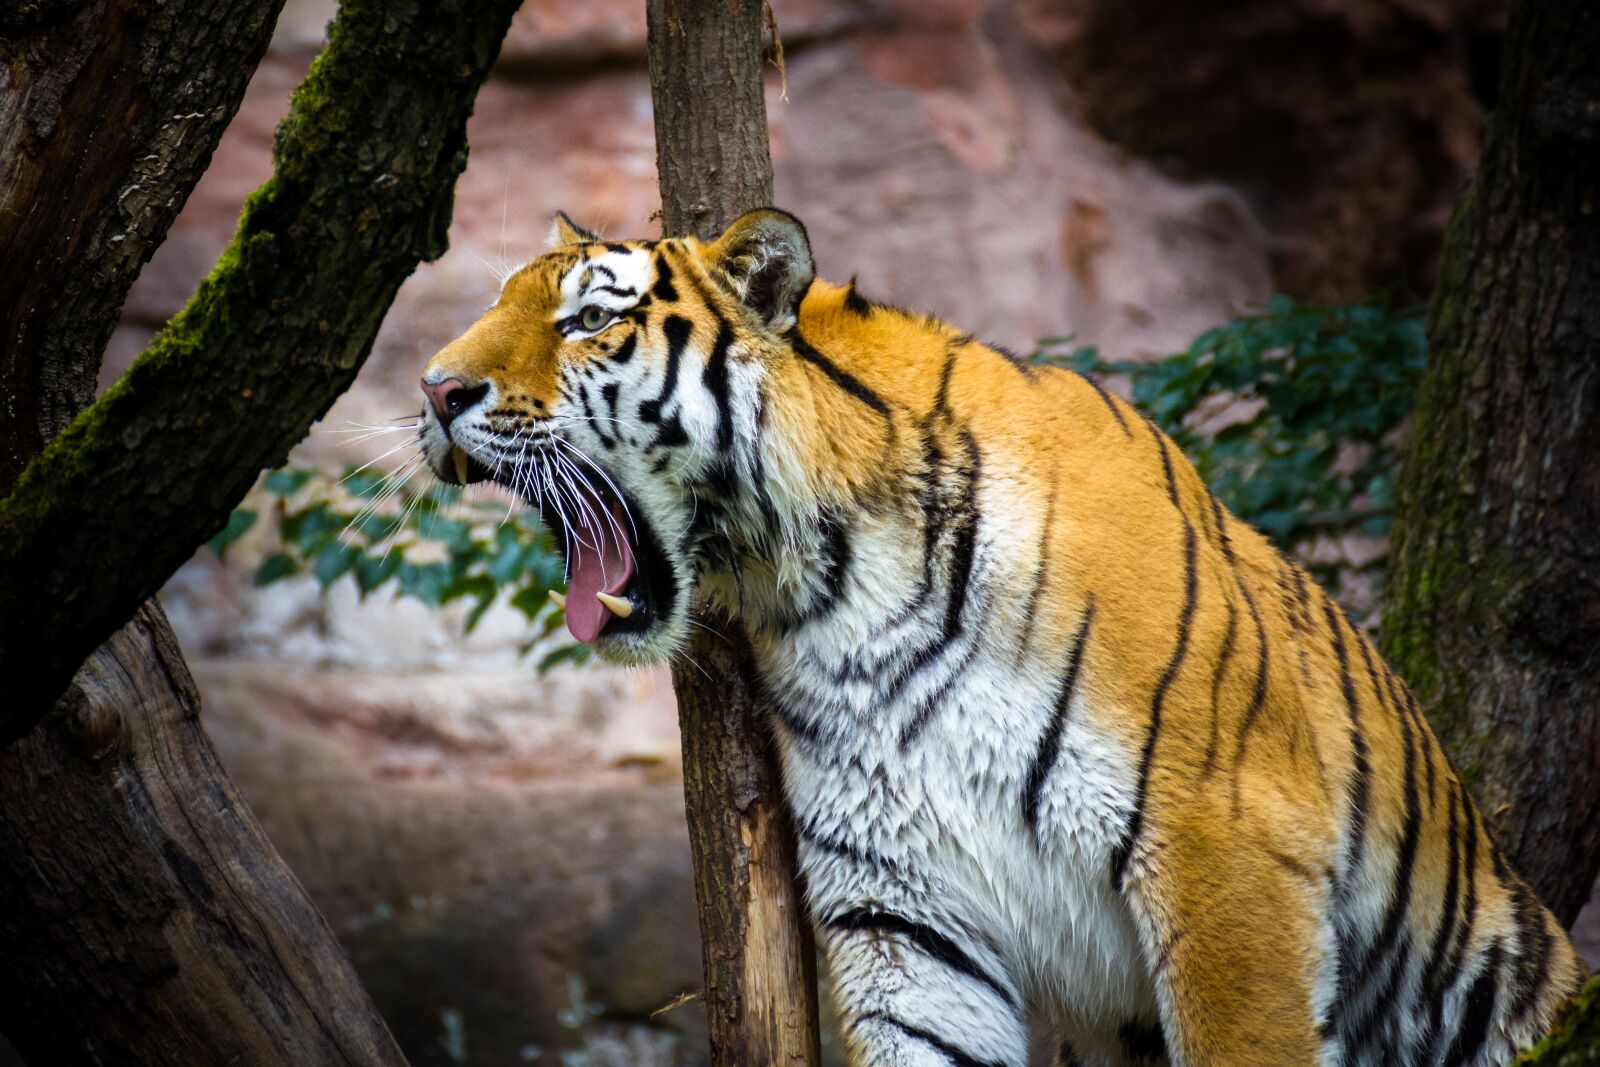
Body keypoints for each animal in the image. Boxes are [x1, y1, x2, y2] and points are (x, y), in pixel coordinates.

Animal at [415, 207, 1586, 1066]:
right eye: (495, 302)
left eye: (585, 319)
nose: (434, 388)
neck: (838, 591)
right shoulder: (901, 908)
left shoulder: (1227, 853)